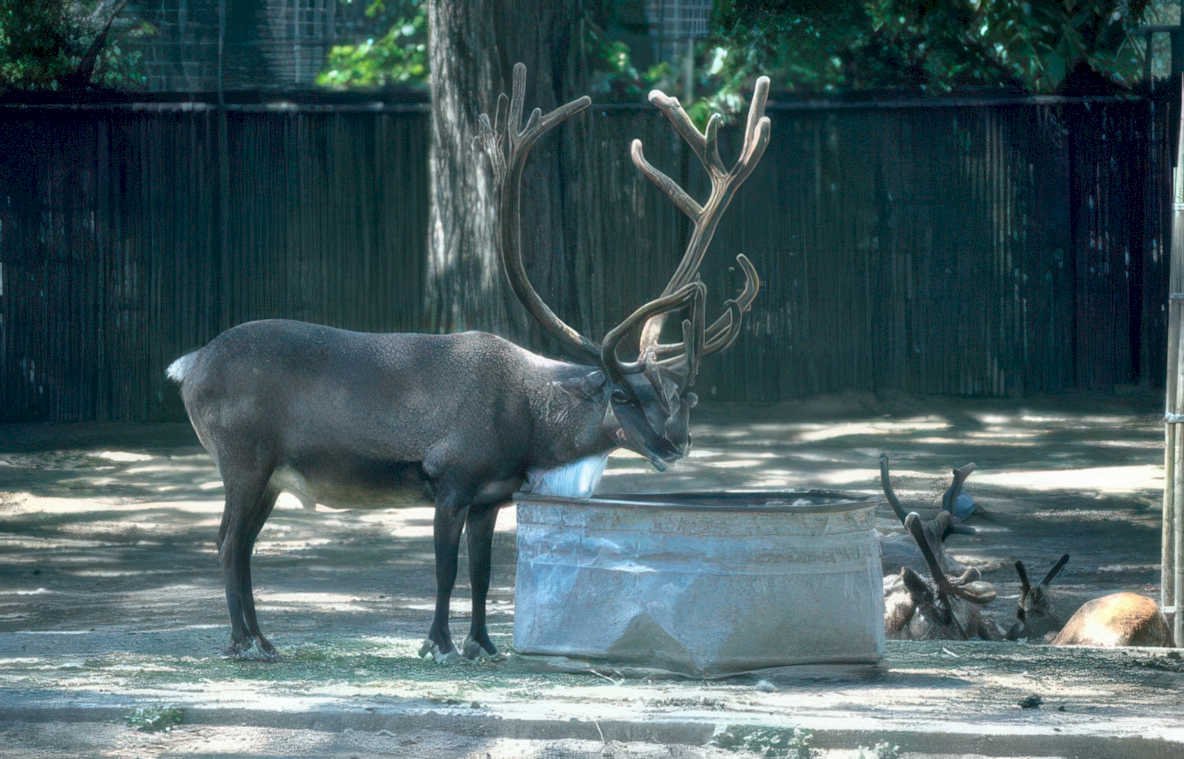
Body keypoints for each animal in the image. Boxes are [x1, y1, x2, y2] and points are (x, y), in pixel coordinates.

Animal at [165, 64, 771, 663]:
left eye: (684, 395)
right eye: (621, 395)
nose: (676, 443)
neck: (528, 428)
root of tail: (188, 364)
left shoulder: (492, 497)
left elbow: (482, 573)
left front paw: (483, 644)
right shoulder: (451, 479)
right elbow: (446, 569)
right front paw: (437, 644)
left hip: (267, 474)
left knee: (242, 544)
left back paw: (263, 639)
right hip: (243, 459)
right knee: (227, 541)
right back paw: (243, 642)